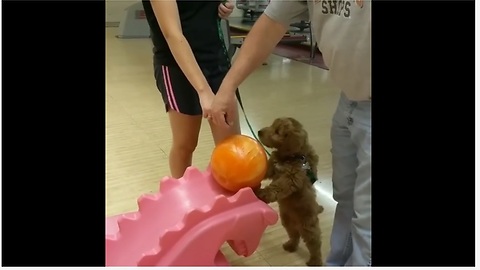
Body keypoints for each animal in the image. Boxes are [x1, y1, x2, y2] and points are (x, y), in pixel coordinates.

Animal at [255, 116, 322, 266]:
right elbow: (265, 170)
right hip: (288, 223)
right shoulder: (272, 168)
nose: (259, 132)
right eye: (272, 126)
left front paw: (264, 194)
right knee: (294, 236)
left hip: (308, 226)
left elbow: (278, 186)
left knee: (314, 244)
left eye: (277, 131)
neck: (292, 156)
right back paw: (290, 246)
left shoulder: (291, 177)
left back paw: (315, 261)